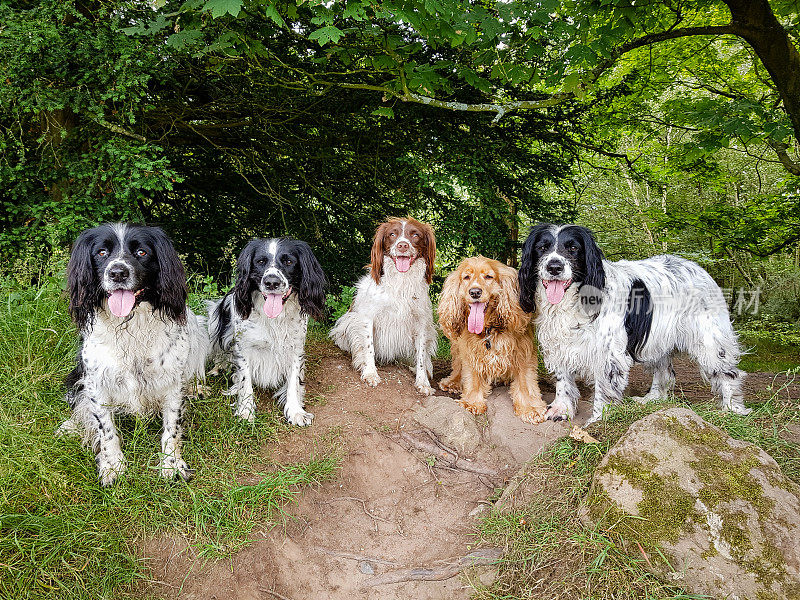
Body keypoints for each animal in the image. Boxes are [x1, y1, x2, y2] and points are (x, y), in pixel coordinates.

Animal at [60, 223, 209, 486]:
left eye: (141, 252)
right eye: (101, 252)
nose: (117, 273)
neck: (131, 324)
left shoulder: (172, 382)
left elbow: (172, 426)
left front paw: (171, 463)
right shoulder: (96, 381)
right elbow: (105, 429)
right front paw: (112, 465)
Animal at [211, 237, 330, 424]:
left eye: (288, 262)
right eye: (260, 262)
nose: (272, 282)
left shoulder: (295, 348)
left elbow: (294, 379)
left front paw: (295, 410)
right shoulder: (244, 348)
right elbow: (245, 379)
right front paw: (246, 410)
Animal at [520, 223, 752, 424]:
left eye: (573, 248)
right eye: (542, 247)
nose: (554, 267)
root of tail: (697, 267)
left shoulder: (608, 353)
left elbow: (604, 389)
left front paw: (598, 420)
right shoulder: (558, 343)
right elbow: (563, 380)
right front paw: (561, 409)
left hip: (709, 338)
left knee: (728, 372)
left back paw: (732, 408)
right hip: (658, 340)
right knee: (664, 371)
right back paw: (653, 399)